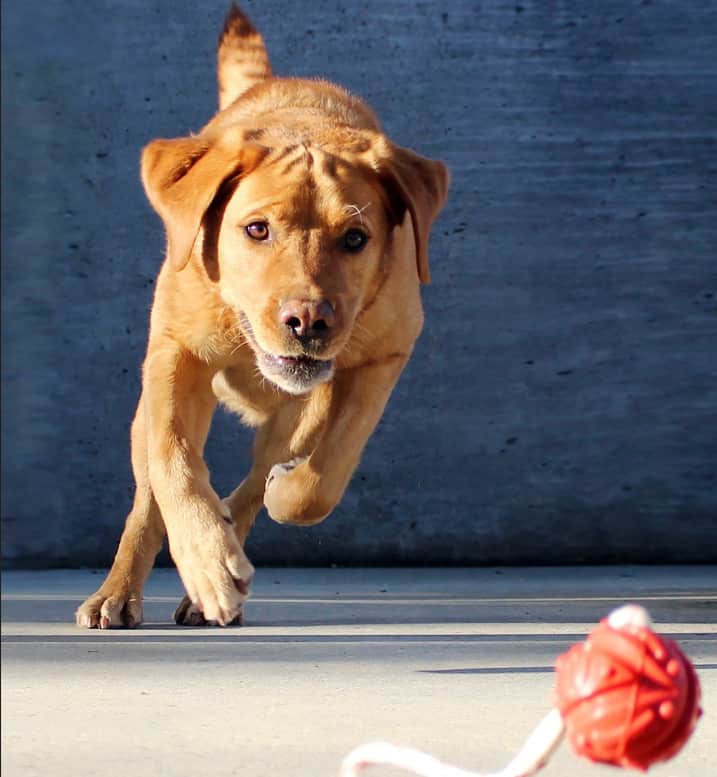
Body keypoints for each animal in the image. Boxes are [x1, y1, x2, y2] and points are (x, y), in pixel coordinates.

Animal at [77, 3, 448, 628]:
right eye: (256, 229)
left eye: (356, 238)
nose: (309, 322)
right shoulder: (176, 354)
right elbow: (174, 462)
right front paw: (207, 560)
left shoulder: (385, 356)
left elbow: (326, 473)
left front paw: (278, 497)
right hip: (144, 416)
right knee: (147, 498)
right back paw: (119, 592)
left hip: (299, 411)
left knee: (259, 477)